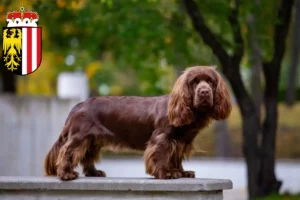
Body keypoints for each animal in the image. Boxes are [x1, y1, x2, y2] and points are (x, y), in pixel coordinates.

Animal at [44, 65, 232, 180]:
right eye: (194, 82)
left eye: (210, 81)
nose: (204, 92)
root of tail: (79, 105)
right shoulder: (162, 138)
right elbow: (161, 155)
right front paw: (166, 173)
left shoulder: (180, 142)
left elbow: (175, 158)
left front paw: (181, 172)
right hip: (80, 136)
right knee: (67, 152)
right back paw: (66, 174)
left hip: (92, 139)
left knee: (87, 156)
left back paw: (94, 172)